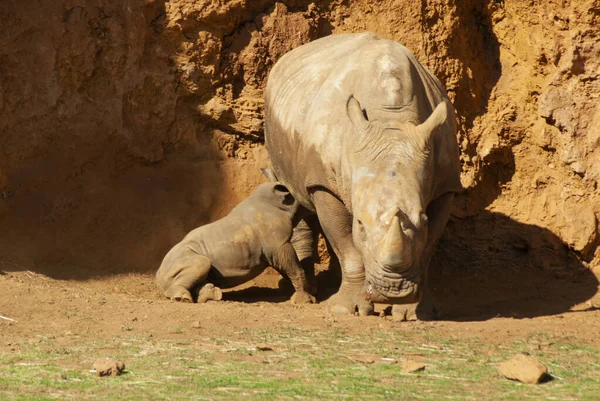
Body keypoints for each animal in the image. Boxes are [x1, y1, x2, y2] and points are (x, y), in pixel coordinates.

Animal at [155, 181, 316, 304]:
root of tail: (157, 275)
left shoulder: (276, 246)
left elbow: (292, 267)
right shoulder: (278, 245)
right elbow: (295, 268)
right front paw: (305, 301)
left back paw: (211, 295)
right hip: (177, 260)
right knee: (201, 262)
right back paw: (183, 298)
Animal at [264, 32, 462, 318]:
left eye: (422, 219)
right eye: (361, 225)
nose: (393, 290)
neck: (391, 121)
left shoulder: (446, 184)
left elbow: (427, 247)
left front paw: (415, 312)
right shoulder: (324, 183)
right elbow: (347, 245)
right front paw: (349, 309)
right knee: (293, 195)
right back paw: (307, 296)